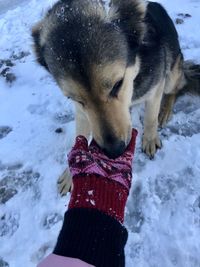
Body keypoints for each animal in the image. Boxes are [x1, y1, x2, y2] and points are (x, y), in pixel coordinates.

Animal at [32, 0, 200, 195]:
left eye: (118, 84)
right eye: (76, 99)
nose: (114, 151)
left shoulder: (156, 87)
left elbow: (150, 118)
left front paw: (150, 138)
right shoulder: (81, 112)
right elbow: (80, 134)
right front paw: (70, 174)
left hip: (172, 74)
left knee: (176, 88)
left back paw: (165, 110)